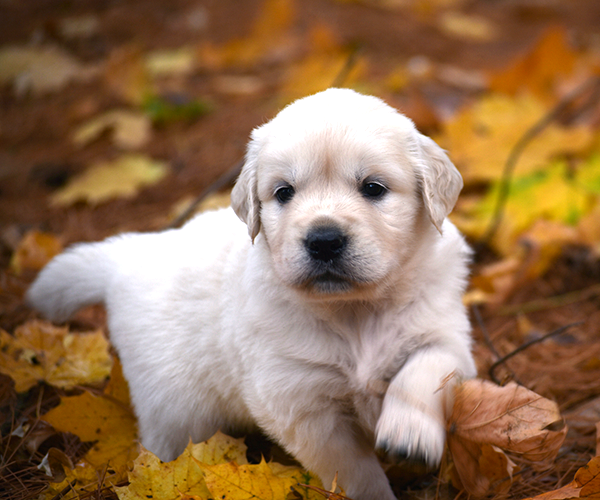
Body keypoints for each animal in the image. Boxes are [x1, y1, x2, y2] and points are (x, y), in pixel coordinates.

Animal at [28, 89, 476, 500]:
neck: (354, 311)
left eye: (373, 187)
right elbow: (351, 469)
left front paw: (409, 433)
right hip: (171, 408)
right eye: (284, 192)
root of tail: (130, 252)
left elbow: (422, 371)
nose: (324, 241)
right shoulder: (297, 399)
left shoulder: (447, 335)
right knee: (157, 450)